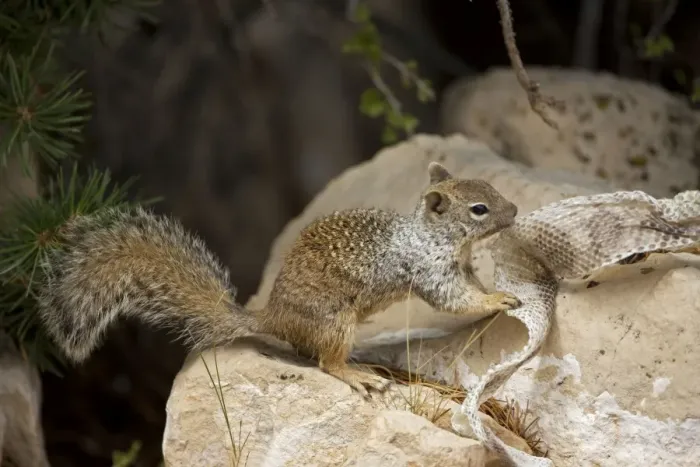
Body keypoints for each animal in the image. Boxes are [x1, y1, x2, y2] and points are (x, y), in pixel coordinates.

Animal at [37, 162, 520, 398]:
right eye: (478, 209)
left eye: (491, 188)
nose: (515, 210)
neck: (435, 236)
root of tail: (272, 318)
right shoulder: (429, 269)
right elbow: (455, 300)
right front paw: (497, 300)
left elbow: (470, 286)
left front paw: (495, 288)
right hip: (334, 322)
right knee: (326, 363)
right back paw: (358, 375)